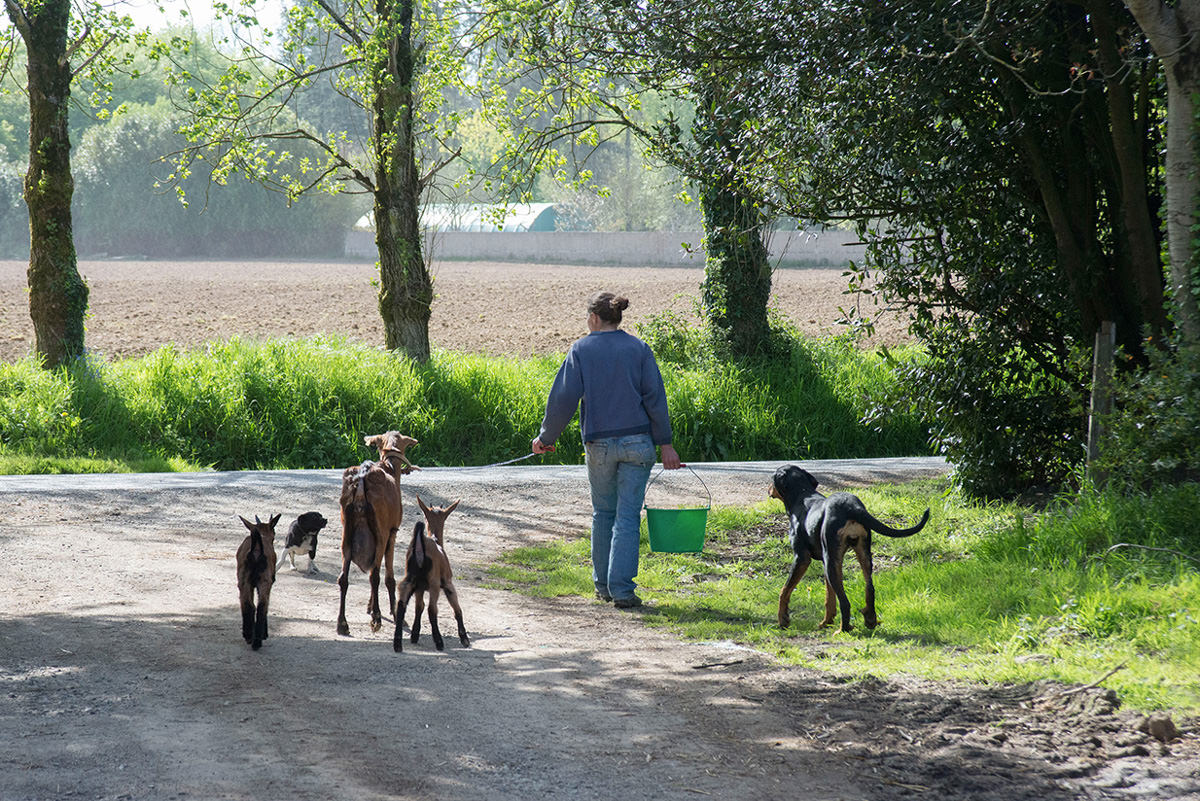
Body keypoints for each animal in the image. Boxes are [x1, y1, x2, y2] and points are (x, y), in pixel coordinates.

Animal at [235, 513, 279, 652]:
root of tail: (257, 549)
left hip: (244, 581)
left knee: (249, 604)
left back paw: (250, 636)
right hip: (264, 581)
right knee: (261, 606)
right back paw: (256, 639)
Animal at [336, 431, 420, 637]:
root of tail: (361, 480)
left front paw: (369, 606)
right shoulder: (392, 531)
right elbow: (389, 577)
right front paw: (395, 614)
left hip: (347, 533)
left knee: (343, 578)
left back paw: (342, 624)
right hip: (380, 532)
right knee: (374, 576)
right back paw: (377, 619)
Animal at [393, 496, 468, 652]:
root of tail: (420, 544)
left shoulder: (419, 588)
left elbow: (419, 607)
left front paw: (414, 635)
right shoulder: (447, 583)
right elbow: (457, 609)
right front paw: (464, 639)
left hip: (409, 580)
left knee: (402, 604)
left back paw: (397, 643)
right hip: (434, 583)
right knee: (432, 609)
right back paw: (439, 642)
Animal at [768, 462, 926, 633]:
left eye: (772, 478)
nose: (768, 488)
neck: (802, 495)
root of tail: (852, 507)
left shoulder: (802, 558)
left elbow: (784, 590)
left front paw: (783, 620)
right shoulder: (825, 562)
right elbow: (829, 597)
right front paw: (826, 622)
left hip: (832, 562)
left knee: (845, 602)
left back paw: (843, 629)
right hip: (862, 555)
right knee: (870, 589)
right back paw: (870, 620)